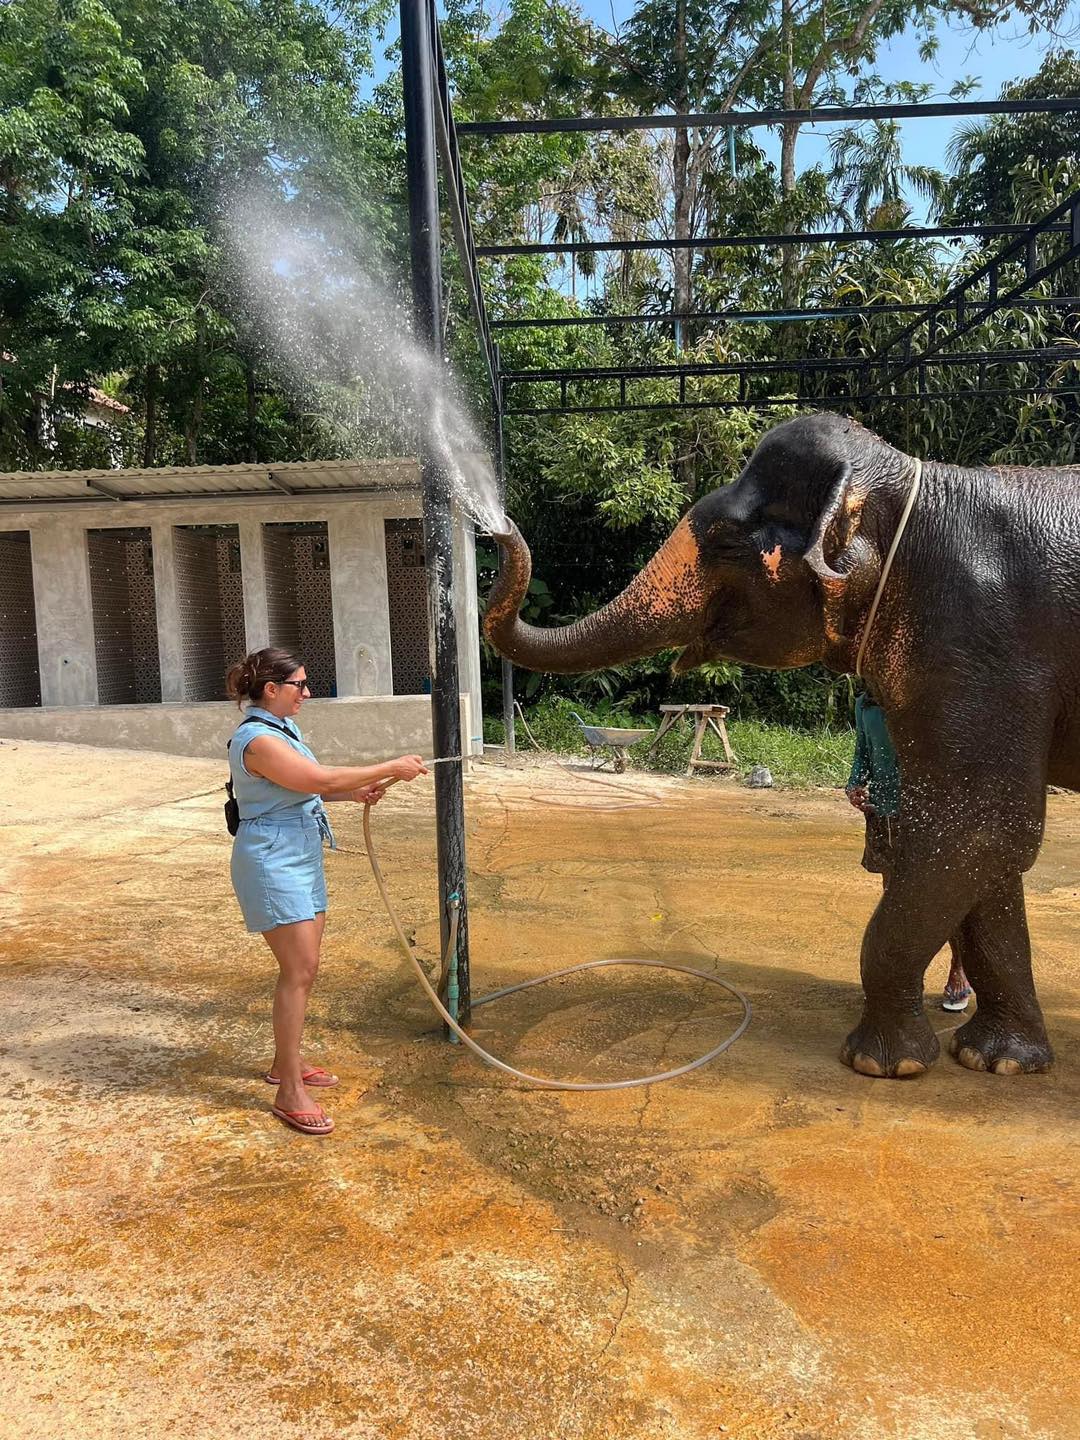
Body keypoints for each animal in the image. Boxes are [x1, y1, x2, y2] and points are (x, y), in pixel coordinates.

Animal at [483, 411, 1080, 1079]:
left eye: (723, 543)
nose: (498, 529)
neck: (910, 484)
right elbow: (986, 844)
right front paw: (996, 1059)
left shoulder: (983, 649)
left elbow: (980, 831)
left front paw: (880, 1065)